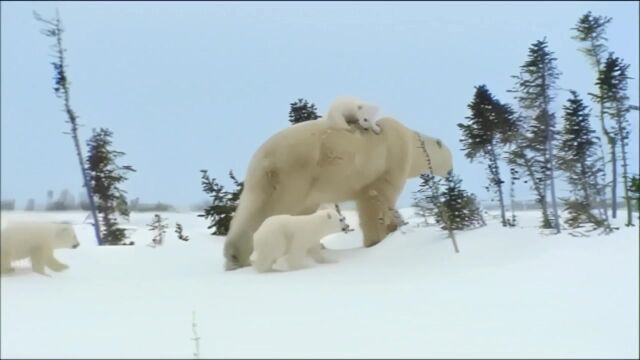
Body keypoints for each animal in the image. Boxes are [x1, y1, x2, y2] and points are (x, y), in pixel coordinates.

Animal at [222, 116, 452, 270]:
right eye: (451, 158)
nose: (451, 173)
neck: (411, 141)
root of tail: (261, 158)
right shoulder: (392, 159)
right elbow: (379, 197)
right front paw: (383, 235)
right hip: (294, 174)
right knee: (271, 211)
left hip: (267, 181)